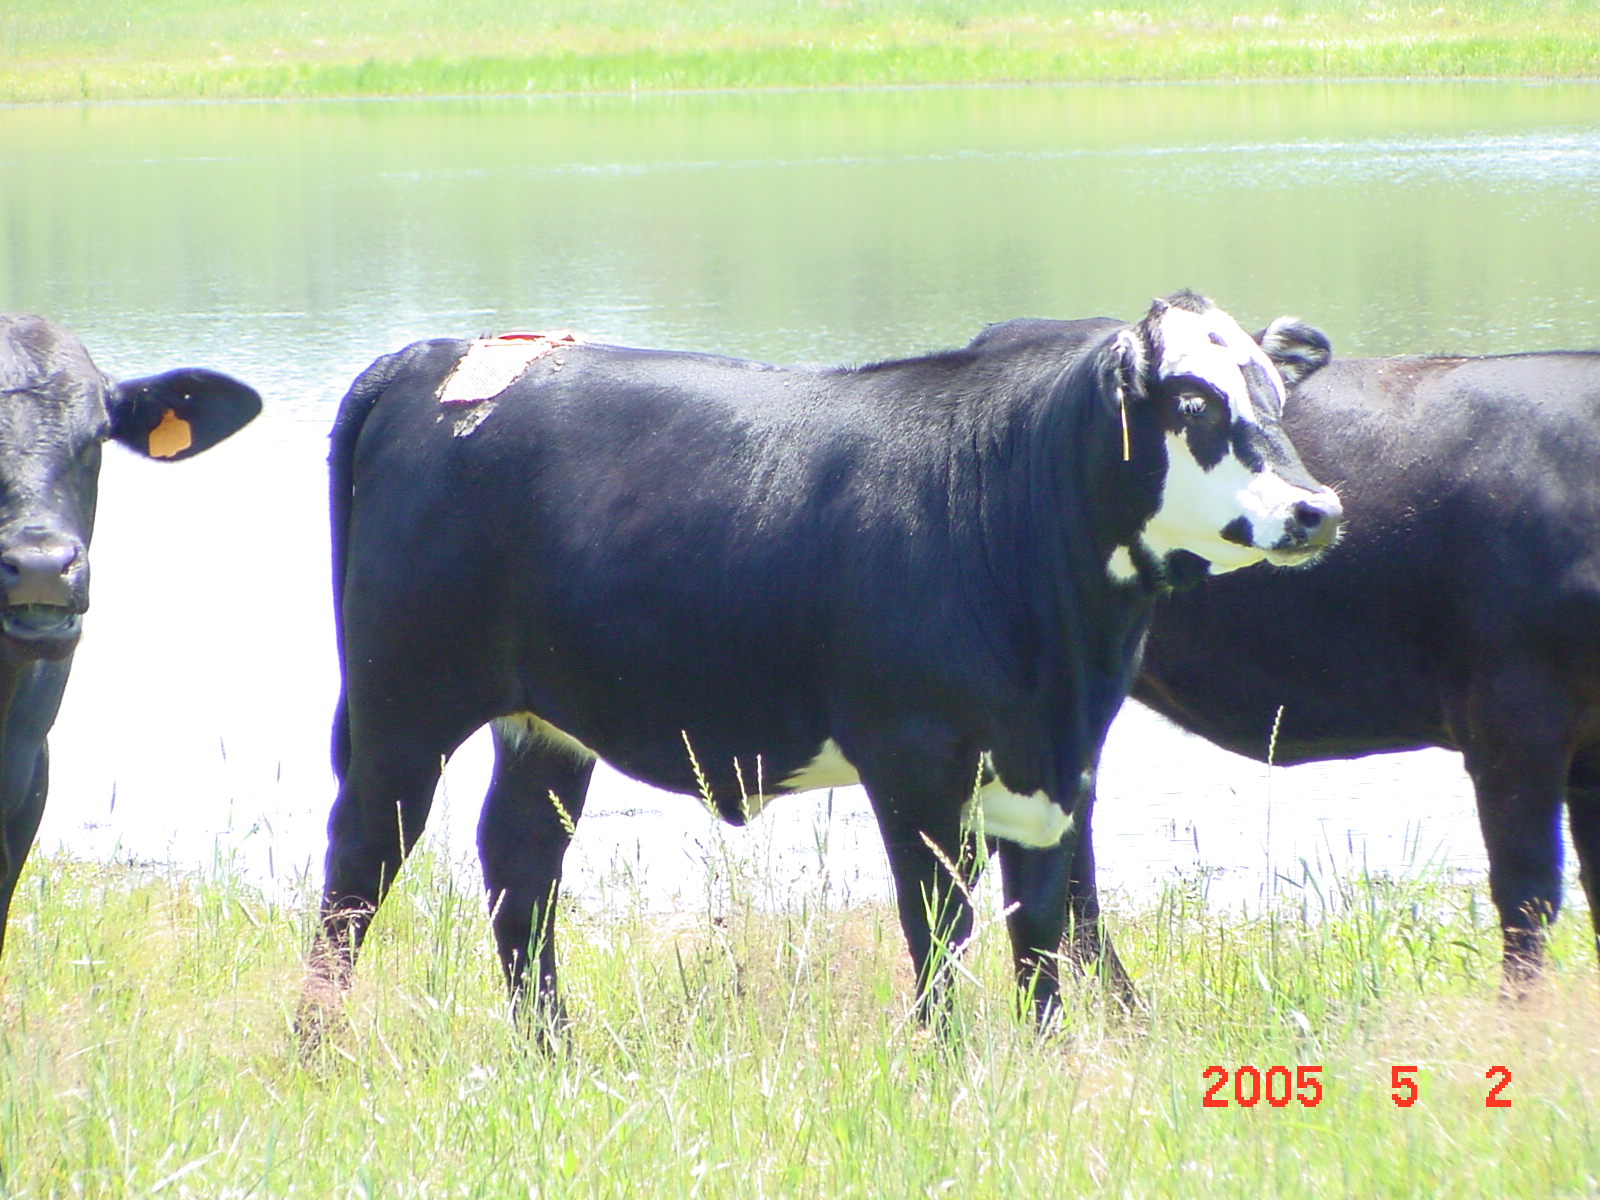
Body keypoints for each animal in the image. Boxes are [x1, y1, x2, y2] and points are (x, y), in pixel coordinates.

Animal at [298, 291, 1341, 1035]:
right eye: (1195, 401)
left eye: (1274, 394)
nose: (1317, 509)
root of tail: (426, 355)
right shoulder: (914, 762)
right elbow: (939, 927)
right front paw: (946, 1064)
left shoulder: (1055, 770)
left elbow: (1044, 929)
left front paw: (1049, 1062)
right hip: (403, 702)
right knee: (359, 864)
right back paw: (319, 1047)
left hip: (543, 720)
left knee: (520, 866)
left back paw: (551, 1049)